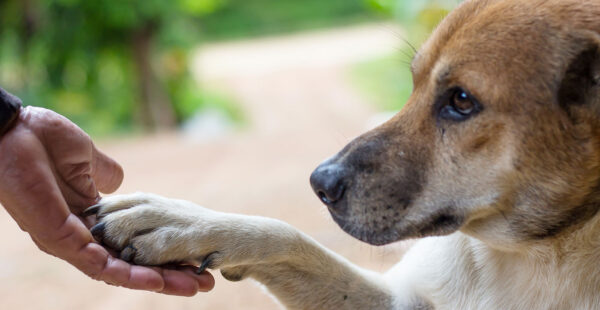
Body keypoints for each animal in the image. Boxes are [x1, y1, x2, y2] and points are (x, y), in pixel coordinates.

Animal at [83, 0, 600, 308]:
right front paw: (182, 222)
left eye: (461, 100)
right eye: (413, 83)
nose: (320, 183)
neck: (541, 251)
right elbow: (288, 237)